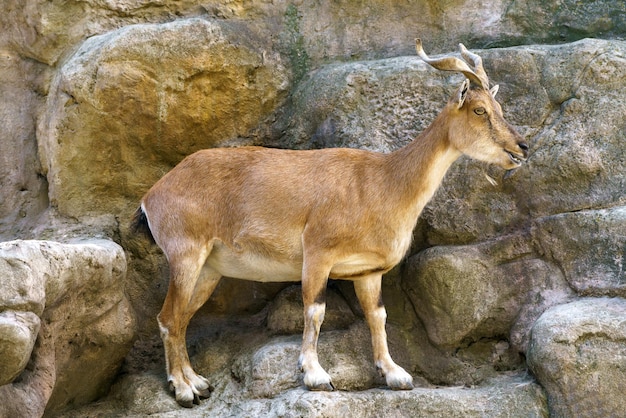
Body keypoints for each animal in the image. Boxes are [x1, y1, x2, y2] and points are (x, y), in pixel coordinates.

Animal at [130, 40, 528, 406]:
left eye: (500, 108)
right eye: (479, 109)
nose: (521, 148)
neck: (384, 184)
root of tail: (152, 196)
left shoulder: (368, 272)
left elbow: (378, 317)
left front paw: (395, 374)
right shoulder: (318, 253)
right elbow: (315, 310)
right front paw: (316, 375)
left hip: (209, 270)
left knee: (181, 319)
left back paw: (197, 382)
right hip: (186, 253)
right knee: (168, 318)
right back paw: (182, 390)